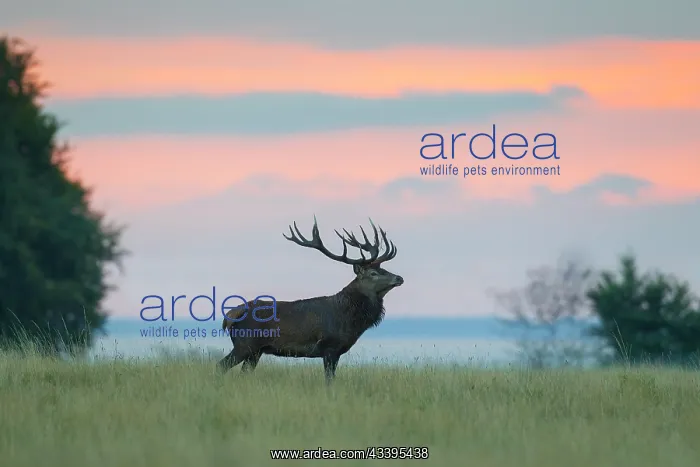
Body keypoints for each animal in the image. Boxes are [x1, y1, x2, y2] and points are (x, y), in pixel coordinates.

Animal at [217, 216, 403, 383]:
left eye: (384, 269)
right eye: (373, 273)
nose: (399, 278)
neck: (350, 320)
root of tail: (230, 316)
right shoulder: (329, 347)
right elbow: (329, 381)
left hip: (256, 351)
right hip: (245, 344)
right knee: (220, 365)